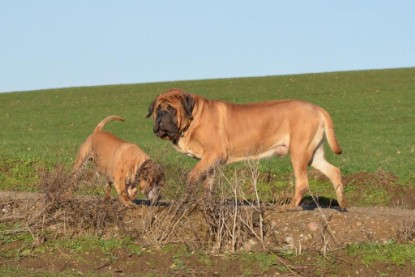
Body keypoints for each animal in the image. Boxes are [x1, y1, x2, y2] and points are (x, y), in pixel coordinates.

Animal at [148, 88, 346, 209]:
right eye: (158, 109)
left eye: (172, 109)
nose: (161, 115)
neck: (194, 118)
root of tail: (317, 108)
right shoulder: (210, 160)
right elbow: (208, 183)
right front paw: (207, 203)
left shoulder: (214, 153)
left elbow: (193, 175)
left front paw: (185, 199)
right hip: (314, 154)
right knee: (334, 171)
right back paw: (342, 204)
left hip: (299, 151)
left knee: (302, 182)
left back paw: (290, 206)